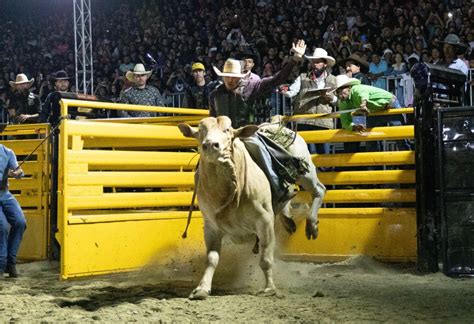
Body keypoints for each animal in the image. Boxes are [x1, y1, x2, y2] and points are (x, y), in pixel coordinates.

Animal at [178, 116, 326, 298]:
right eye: (200, 131)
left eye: (227, 130)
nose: (210, 145)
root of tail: (277, 123)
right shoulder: (211, 226)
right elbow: (212, 258)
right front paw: (202, 288)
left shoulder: (265, 221)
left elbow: (265, 258)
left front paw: (270, 288)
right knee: (288, 195)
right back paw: (288, 221)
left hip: (305, 173)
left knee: (319, 189)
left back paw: (311, 225)